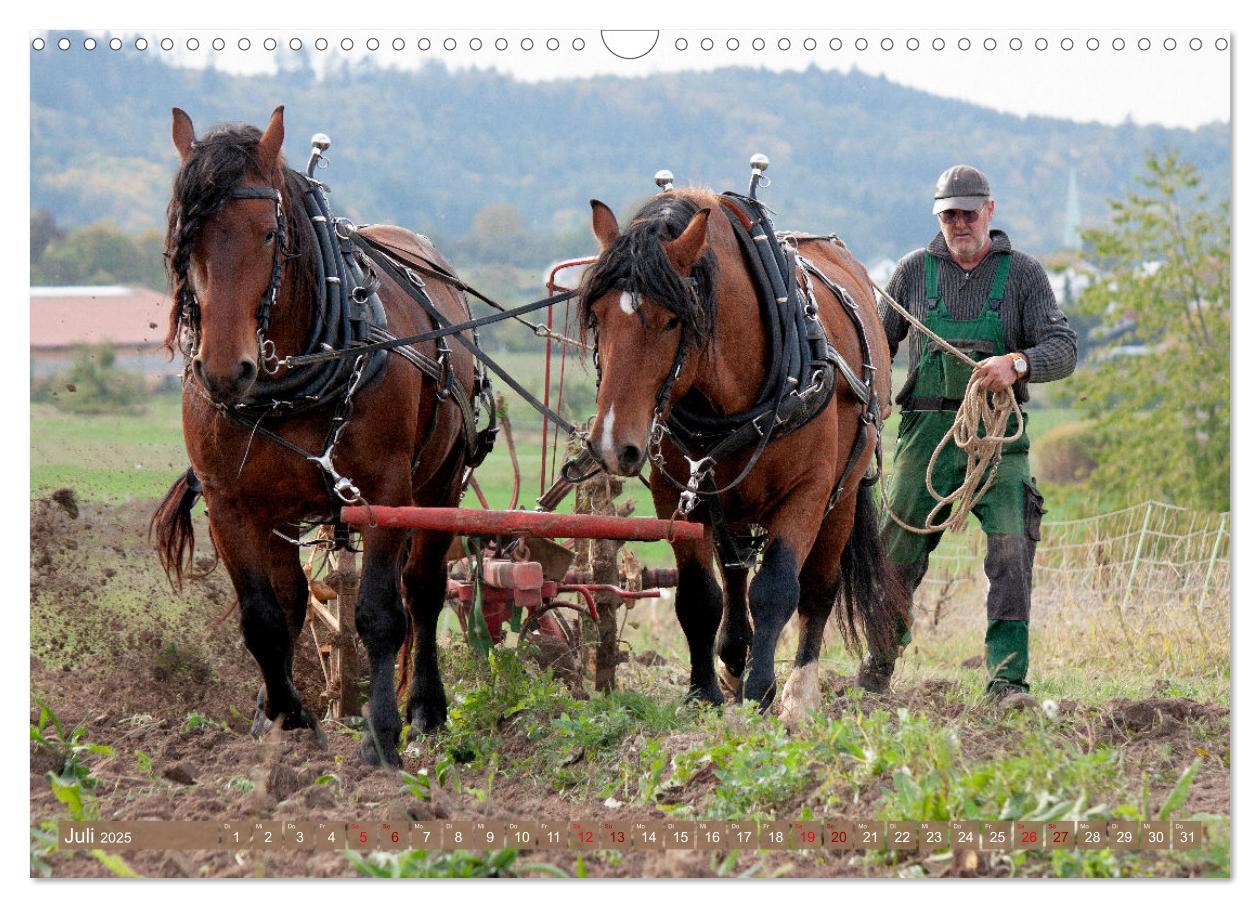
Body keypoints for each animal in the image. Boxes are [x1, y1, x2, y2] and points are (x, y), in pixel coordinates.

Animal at [148, 106, 481, 765]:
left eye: (267, 233)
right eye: (185, 236)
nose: (224, 371)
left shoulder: (383, 495)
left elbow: (380, 614)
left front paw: (381, 736)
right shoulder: (231, 505)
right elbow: (264, 618)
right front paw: (288, 719)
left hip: (440, 483)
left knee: (423, 591)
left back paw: (425, 708)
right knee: (295, 600)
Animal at [579, 187, 907, 720]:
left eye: (671, 321)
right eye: (598, 316)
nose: (611, 443)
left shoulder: (807, 492)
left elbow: (777, 587)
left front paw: (763, 691)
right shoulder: (677, 495)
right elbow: (698, 595)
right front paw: (704, 691)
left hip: (842, 495)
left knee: (819, 586)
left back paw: (798, 692)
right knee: (733, 576)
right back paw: (734, 658)